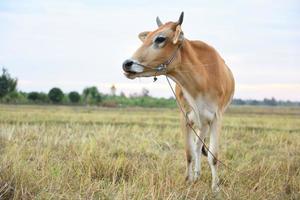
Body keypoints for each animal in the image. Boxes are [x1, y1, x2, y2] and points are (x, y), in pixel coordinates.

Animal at [122, 12, 234, 192]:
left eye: (160, 39)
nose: (126, 64)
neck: (200, 81)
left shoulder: (216, 118)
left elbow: (213, 156)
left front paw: (215, 187)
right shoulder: (186, 117)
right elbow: (189, 152)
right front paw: (188, 180)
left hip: (205, 123)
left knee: (199, 146)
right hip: (201, 123)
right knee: (197, 147)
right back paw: (196, 175)